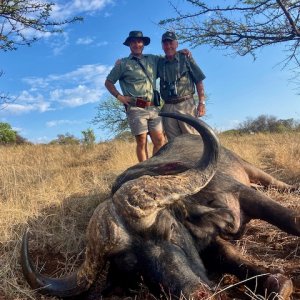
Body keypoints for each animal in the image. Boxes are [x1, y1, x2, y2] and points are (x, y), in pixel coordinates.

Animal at [21, 113, 300, 300]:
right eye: (132, 267)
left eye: (171, 230)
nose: (194, 294)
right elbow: (230, 257)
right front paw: (273, 282)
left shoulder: (244, 194)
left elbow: (290, 219)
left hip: (254, 171)